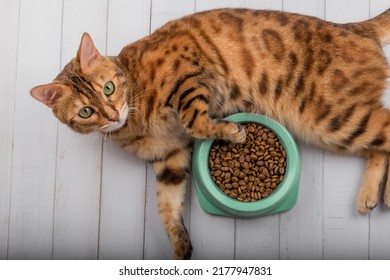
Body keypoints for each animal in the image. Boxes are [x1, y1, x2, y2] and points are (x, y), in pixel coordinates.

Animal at [31, 8, 390, 258]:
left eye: (108, 88)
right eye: (86, 112)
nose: (112, 114)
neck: (135, 123)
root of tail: (355, 28)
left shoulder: (187, 76)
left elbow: (194, 120)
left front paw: (232, 131)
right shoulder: (170, 158)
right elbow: (166, 206)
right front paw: (180, 246)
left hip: (330, 118)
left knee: (386, 129)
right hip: (338, 126)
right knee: (379, 144)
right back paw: (372, 196)